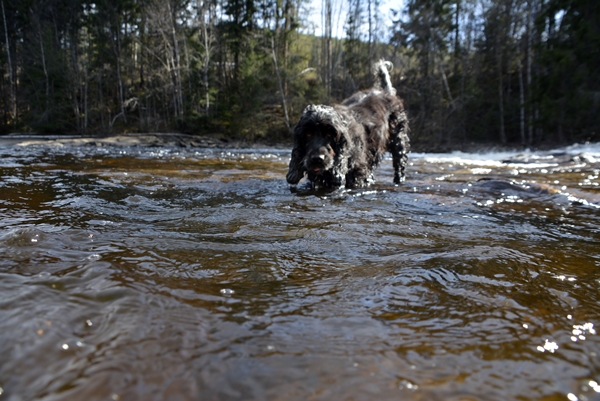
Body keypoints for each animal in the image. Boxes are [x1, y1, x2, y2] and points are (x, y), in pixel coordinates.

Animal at [284, 60, 408, 188]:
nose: (317, 159)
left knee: (400, 165)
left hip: (398, 141)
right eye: (308, 133)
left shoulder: (358, 175)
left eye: (330, 133)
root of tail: (386, 92)